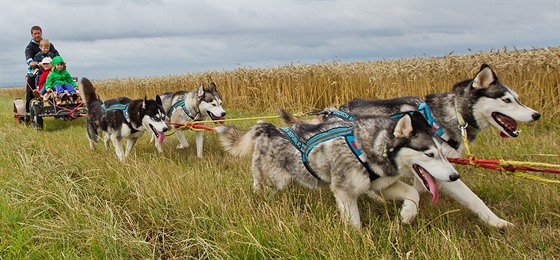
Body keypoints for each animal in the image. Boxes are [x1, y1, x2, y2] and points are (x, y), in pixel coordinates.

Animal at [215, 110, 460, 229]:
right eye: (429, 154)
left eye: (442, 152)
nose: (454, 175)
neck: (369, 147)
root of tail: (268, 128)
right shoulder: (345, 192)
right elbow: (355, 224)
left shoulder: (381, 184)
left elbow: (411, 194)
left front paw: (407, 214)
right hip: (273, 181)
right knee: (261, 188)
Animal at [282, 64, 540, 228]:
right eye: (506, 100)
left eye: (518, 99)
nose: (536, 115)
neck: (444, 117)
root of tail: (330, 112)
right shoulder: (438, 168)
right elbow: (467, 196)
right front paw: (495, 221)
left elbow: (426, 189)